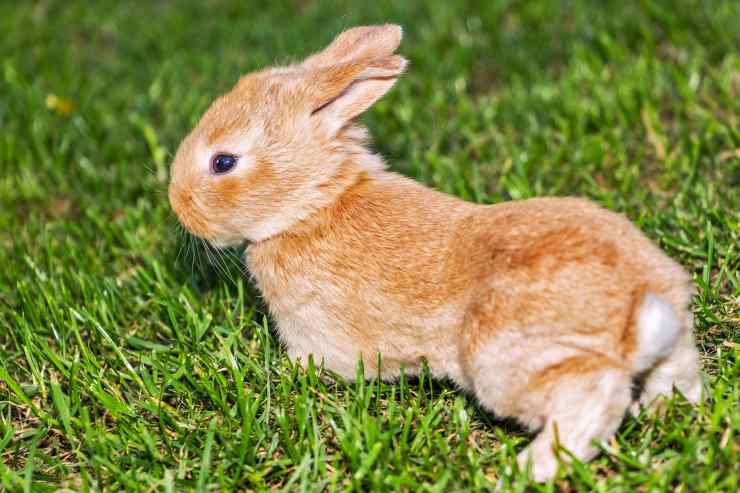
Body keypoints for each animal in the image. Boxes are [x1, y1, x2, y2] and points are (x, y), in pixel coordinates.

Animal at [168, 24, 703, 482]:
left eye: (223, 162)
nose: (177, 202)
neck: (313, 206)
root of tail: (639, 305)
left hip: (503, 360)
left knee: (591, 399)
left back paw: (527, 469)